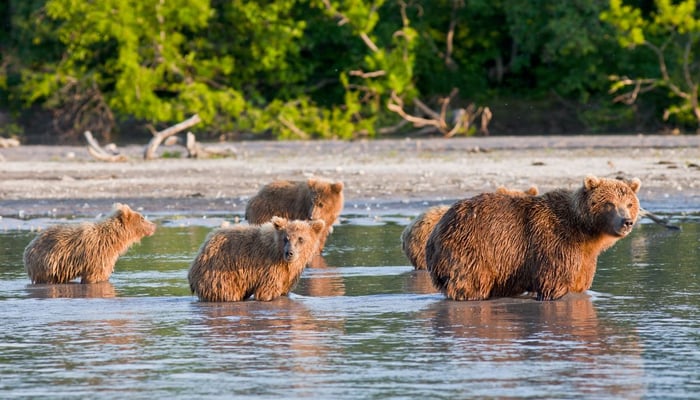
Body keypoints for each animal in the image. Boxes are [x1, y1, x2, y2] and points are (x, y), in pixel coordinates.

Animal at [24, 203, 156, 284]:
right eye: (142, 218)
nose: (154, 226)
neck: (114, 239)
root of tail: (29, 247)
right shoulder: (98, 255)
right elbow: (96, 276)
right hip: (48, 263)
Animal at [188, 216, 325, 302]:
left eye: (300, 239)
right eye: (286, 238)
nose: (289, 253)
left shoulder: (288, 276)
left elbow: (284, 290)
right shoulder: (269, 268)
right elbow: (267, 292)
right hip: (220, 273)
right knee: (227, 293)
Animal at [425, 175, 641, 301]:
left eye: (629, 203)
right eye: (610, 203)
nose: (627, 222)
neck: (585, 231)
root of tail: (436, 230)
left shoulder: (585, 259)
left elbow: (579, 284)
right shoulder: (555, 245)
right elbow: (554, 284)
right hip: (474, 249)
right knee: (471, 284)